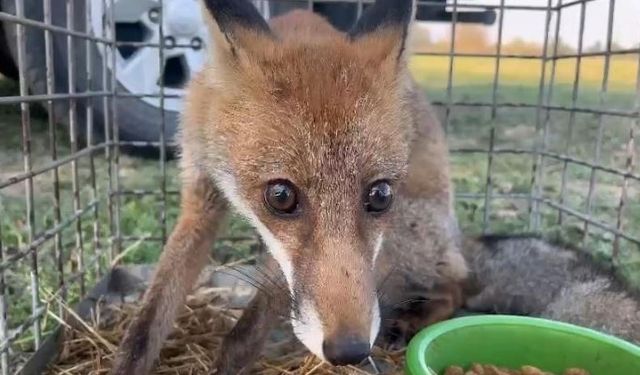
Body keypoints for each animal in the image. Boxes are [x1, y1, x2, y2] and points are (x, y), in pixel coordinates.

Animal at [112, 0, 468, 375]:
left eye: (380, 194)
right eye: (281, 196)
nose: (351, 350)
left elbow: (245, 334)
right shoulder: (201, 200)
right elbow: (146, 325)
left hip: (401, 238)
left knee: (456, 285)